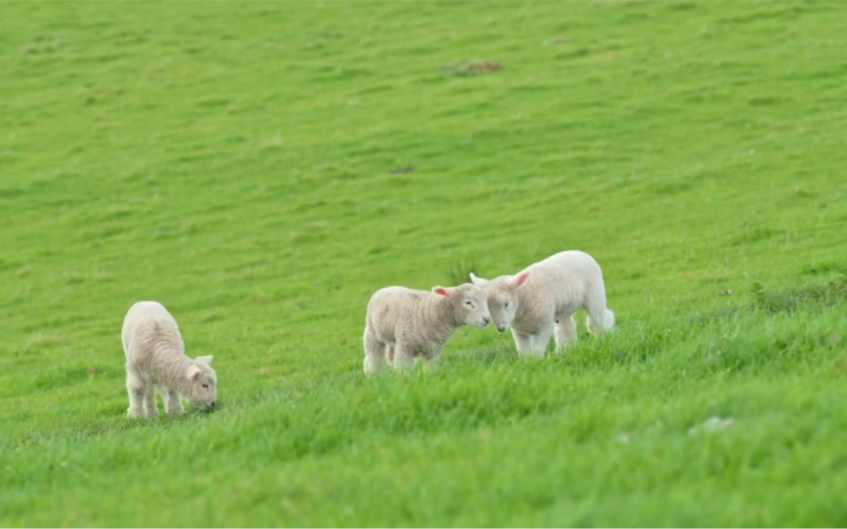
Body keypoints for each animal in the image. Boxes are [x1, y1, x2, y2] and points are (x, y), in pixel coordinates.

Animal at [362, 282, 490, 374]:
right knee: (373, 355)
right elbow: (404, 370)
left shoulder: (433, 351)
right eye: (468, 303)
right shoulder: (405, 347)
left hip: (393, 337)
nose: (487, 319)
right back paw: (372, 374)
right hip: (372, 331)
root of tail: (386, 287)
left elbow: (430, 370)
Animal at [470, 250, 616, 356]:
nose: (500, 328)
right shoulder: (519, 332)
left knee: (600, 318)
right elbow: (523, 351)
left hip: (595, 295)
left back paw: (604, 339)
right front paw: (526, 364)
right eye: (488, 307)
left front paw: (536, 363)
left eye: (506, 304)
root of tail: (580, 252)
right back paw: (565, 351)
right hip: (563, 310)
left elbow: (537, 350)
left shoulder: (544, 327)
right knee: (566, 329)